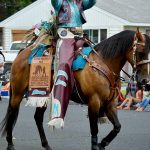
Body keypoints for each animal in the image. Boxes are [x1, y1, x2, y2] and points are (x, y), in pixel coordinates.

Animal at [0, 29, 148, 150]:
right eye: (140, 53)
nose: (145, 80)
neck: (102, 64)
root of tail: (22, 52)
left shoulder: (110, 103)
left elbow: (117, 127)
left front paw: (103, 143)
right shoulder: (94, 102)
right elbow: (94, 129)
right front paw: (96, 146)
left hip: (43, 95)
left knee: (38, 117)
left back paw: (46, 145)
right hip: (18, 92)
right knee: (12, 114)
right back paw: (10, 144)